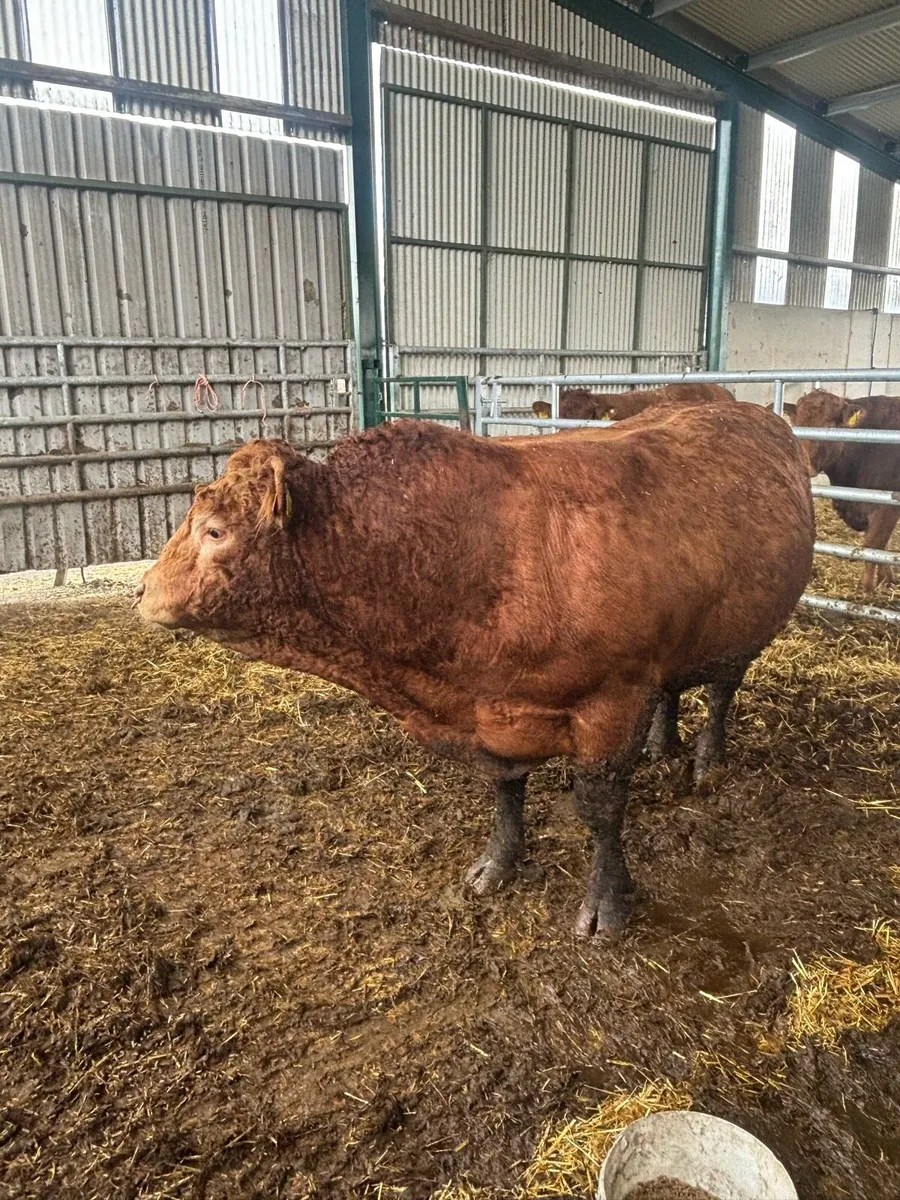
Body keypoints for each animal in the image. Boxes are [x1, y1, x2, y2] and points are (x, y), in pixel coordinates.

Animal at [136, 403, 814, 939]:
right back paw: (660, 741)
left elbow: (600, 811)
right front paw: (499, 863)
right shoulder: (492, 709)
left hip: (743, 631)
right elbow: (505, 791)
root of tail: (753, 413)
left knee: (722, 689)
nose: (141, 590)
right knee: (675, 688)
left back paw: (706, 760)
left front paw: (607, 905)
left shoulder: (612, 700)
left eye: (215, 531)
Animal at [791, 390, 900, 592]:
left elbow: (874, 544)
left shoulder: (888, 505)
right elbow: (883, 544)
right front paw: (886, 579)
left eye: (830, 426)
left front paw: (866, 588)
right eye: (796, 423)